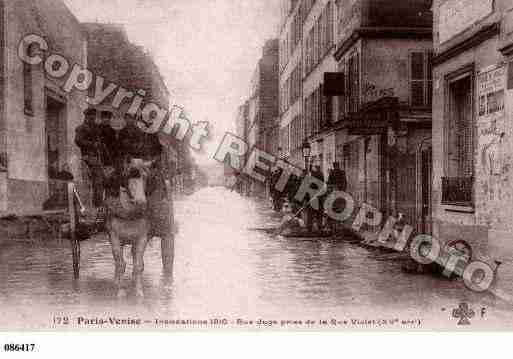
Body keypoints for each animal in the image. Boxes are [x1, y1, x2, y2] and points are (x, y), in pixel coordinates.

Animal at [102, 160, 154, 298]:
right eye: (128, 176)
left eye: (145, 177)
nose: (141, 202)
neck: (129, 214)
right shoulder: (114, 237)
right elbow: (120, 264)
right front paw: (120, 290)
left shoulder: (142, 237)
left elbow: (138, 265)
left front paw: (139, 291)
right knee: (118, 261)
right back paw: (116, 282)